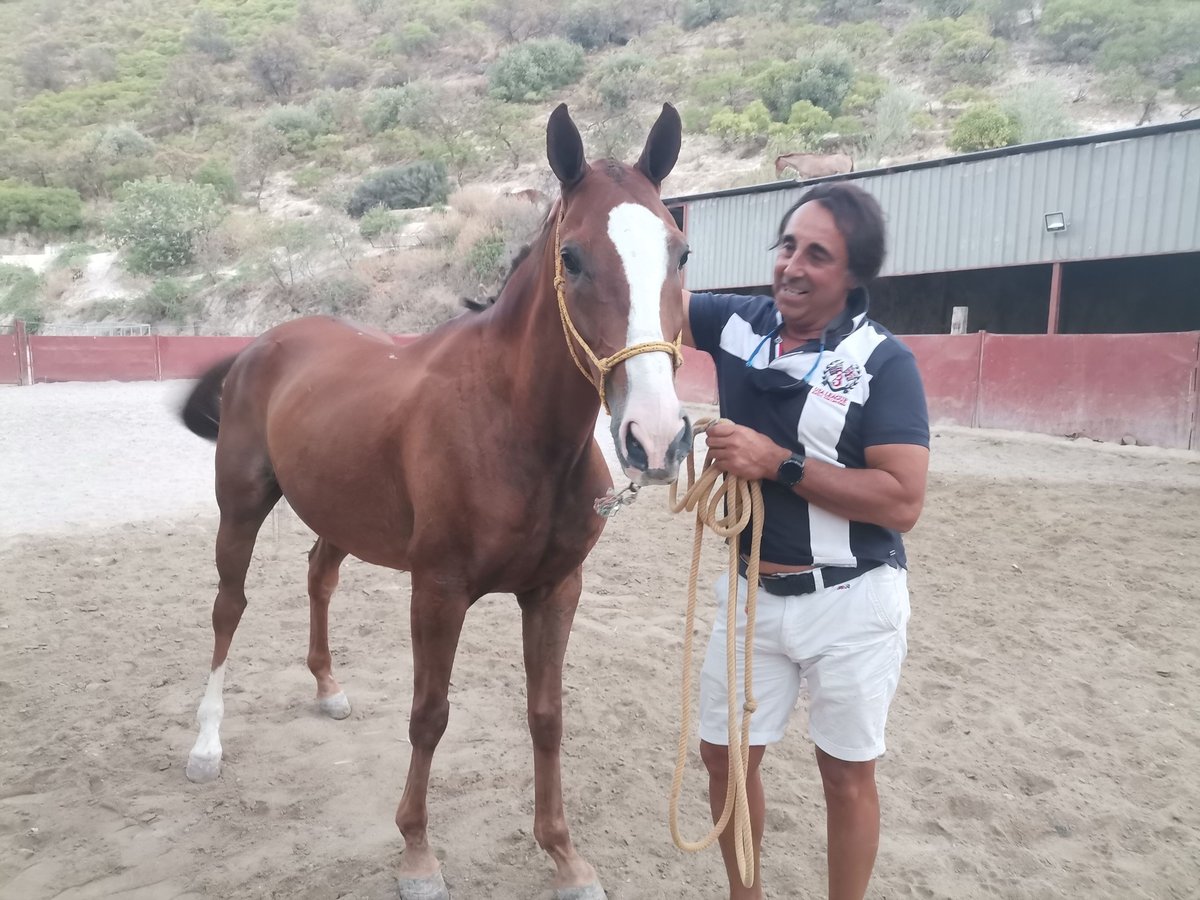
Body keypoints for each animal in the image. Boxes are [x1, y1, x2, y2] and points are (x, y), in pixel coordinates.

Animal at [175, 107, 691, 900]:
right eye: (572, 258)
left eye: (681, 253)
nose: (656, 439)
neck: (512, 424)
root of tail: (268, 341)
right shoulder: (438, 590)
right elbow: (428, 715)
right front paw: (417, 855)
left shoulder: (555, 591)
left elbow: (547, 716)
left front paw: (564, 855)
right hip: (241, 505)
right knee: (228, 608)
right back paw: (206, 744)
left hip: (340, 513)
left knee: (318, 576)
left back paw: (327, 687)